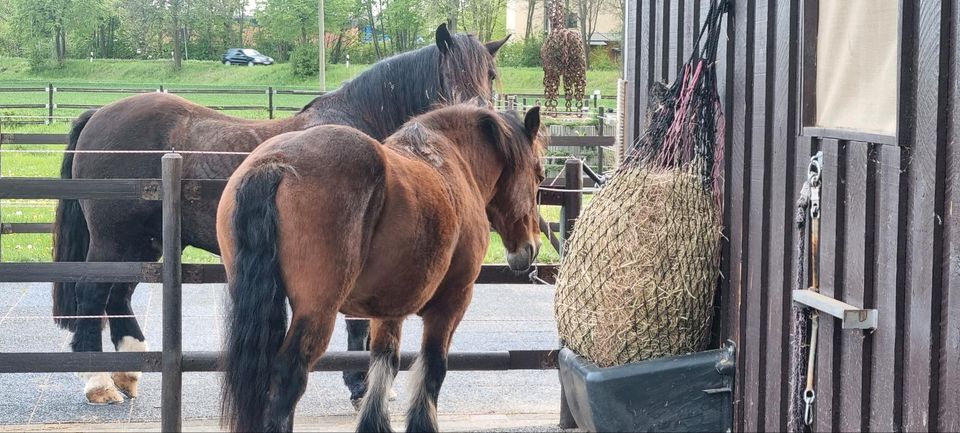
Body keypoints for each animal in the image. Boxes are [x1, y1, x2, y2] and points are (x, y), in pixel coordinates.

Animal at [50, 24, 510, 404]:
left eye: (490, 73)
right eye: (449, 71)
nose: (480, 115)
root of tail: (99, 114)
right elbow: (358, 324)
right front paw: (360, 386)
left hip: (145, 244)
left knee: (118, 296)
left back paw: (126, 374)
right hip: (114, 240)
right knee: (93, 295)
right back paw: (98, 384)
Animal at [219, 105, 548, 432]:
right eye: (539, 173)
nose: (530, 246)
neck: (452, 161)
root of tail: (277, 163)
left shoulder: (389, 309)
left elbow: (384, 361)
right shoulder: (452, 302)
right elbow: (433, 366)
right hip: (317, 311)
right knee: (288, 377)